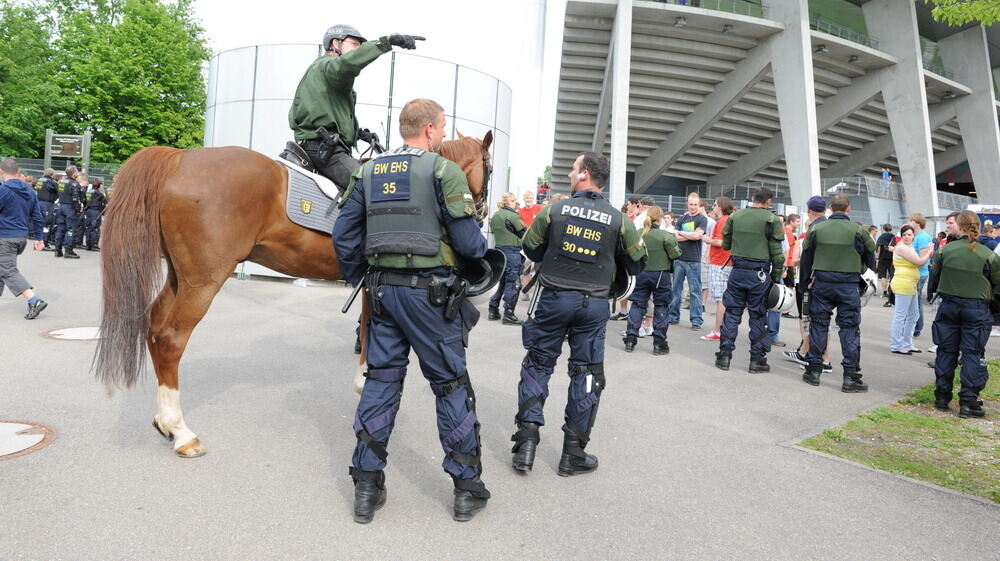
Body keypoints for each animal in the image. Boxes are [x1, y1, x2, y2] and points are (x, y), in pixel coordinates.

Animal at [95, 133, 494, 458]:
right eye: (489, 168)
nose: (481, 213)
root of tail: (180, 157)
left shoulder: (373, 280)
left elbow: (368, 330)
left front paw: (364, 382)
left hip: (180, 277)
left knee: (153, 326)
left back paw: (164, 421)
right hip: (203, 282)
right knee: (170, 338)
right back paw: (181, 431)